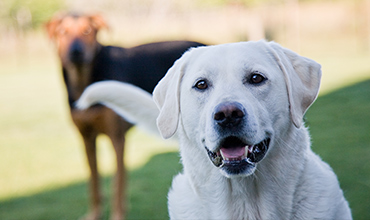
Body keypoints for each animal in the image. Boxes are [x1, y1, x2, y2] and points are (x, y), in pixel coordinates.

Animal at [46, 12, 205, 220]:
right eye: (63, 32)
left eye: (87, 31)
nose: (76, 51)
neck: (83, 80)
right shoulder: (86, 138)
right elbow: (93, 181)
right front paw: (94, 214)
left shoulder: (117, 139)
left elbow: (117, 184)